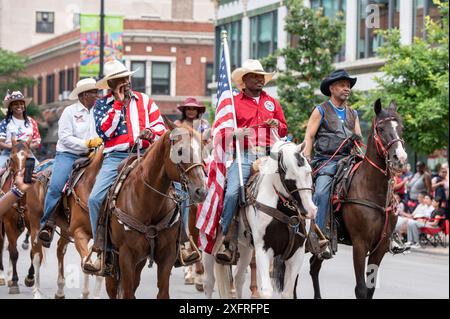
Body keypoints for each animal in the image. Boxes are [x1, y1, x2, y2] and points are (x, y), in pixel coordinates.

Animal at [104, 123, 207, 300]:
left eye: (202, 150)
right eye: (180, 151)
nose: (201, 191)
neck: (147, 202)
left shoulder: (167, 255)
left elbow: (162, 292)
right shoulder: (126, 256)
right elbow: (127, 293)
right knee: (113, 288)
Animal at [214, 141, 316, 300]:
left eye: (308, 172)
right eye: (289, 179)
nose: (310, 211)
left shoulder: (297, 253)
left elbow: (287, 293)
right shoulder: (263, 249)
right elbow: (266, 291)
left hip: (245, 248)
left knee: (238, 278)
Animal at [310, 100, 408, 300]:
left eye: (400, 127)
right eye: (380, 128)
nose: (400, 159)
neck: (372, 190)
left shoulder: (380, 247)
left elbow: (370, 289)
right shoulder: (360, 244)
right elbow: (361, 289)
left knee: (313, 268)